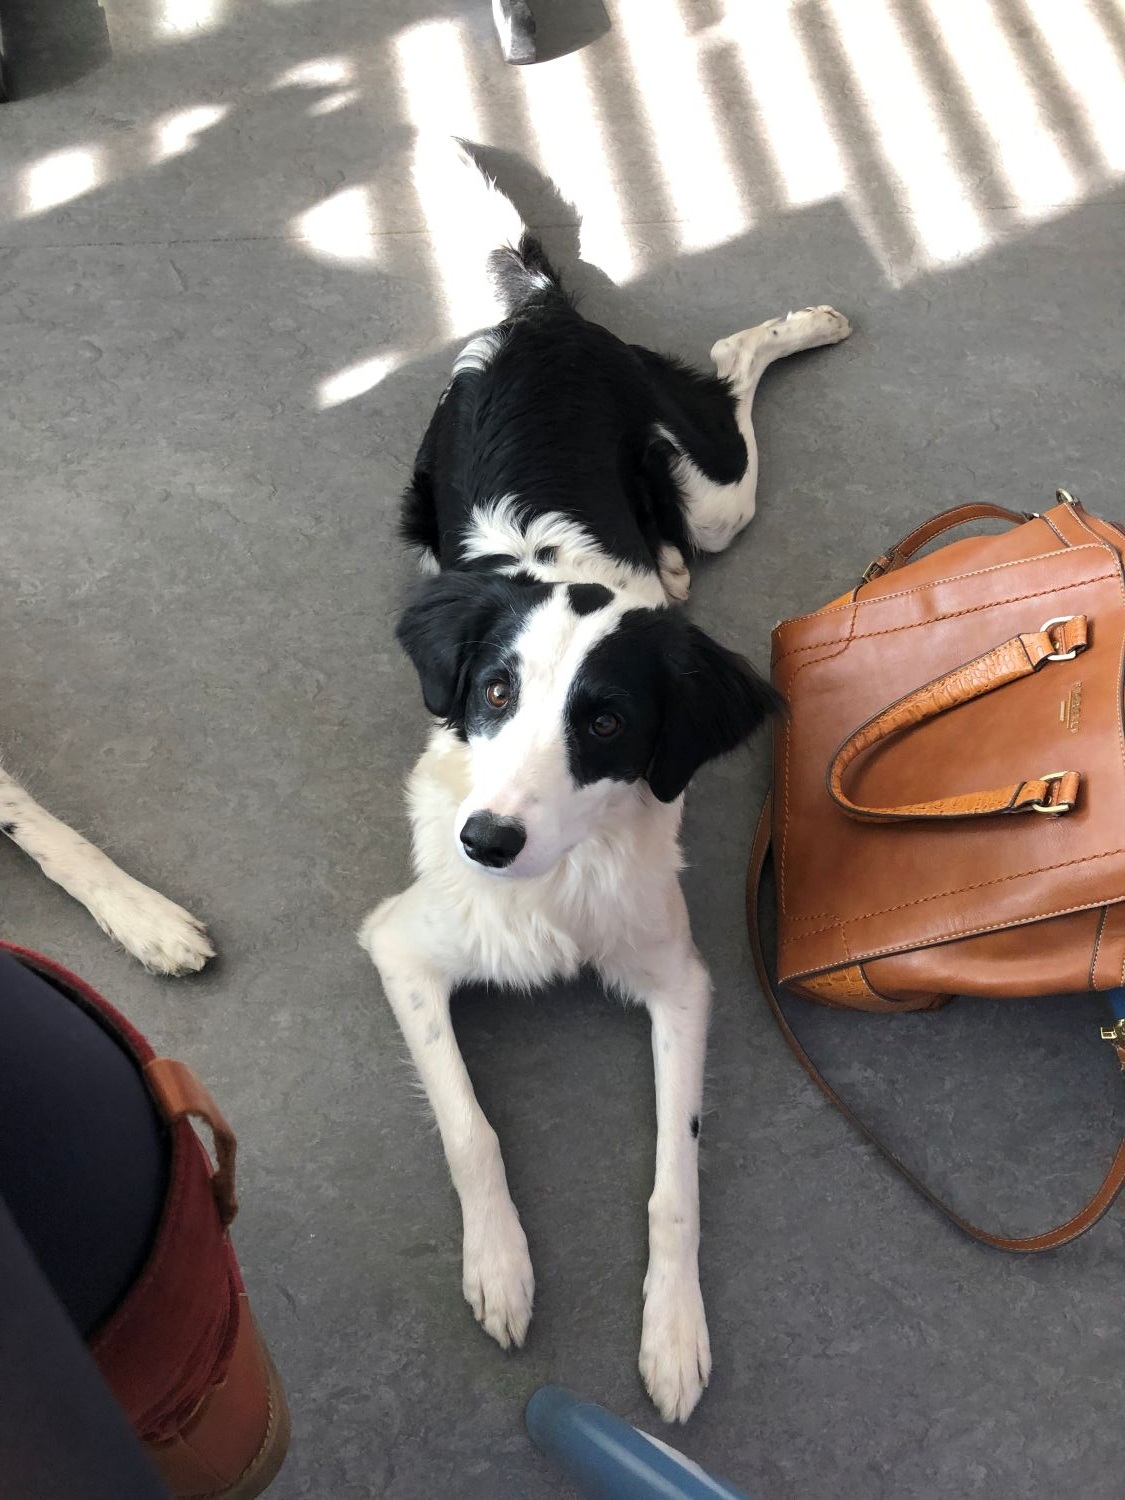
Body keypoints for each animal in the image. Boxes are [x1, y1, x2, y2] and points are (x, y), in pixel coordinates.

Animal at [359, 155, 850, 1422]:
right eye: (492, 692)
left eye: (607, 723)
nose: (485, 841)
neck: (551, 875)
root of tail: (539, 319)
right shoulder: (403, 946)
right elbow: (471, 1129)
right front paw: (500, 1269)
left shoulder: (680, 981)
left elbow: (675, 1180)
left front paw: (673, 1336)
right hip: (422, 507)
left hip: (719, 491)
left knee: (727, 371)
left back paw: (807, 329)